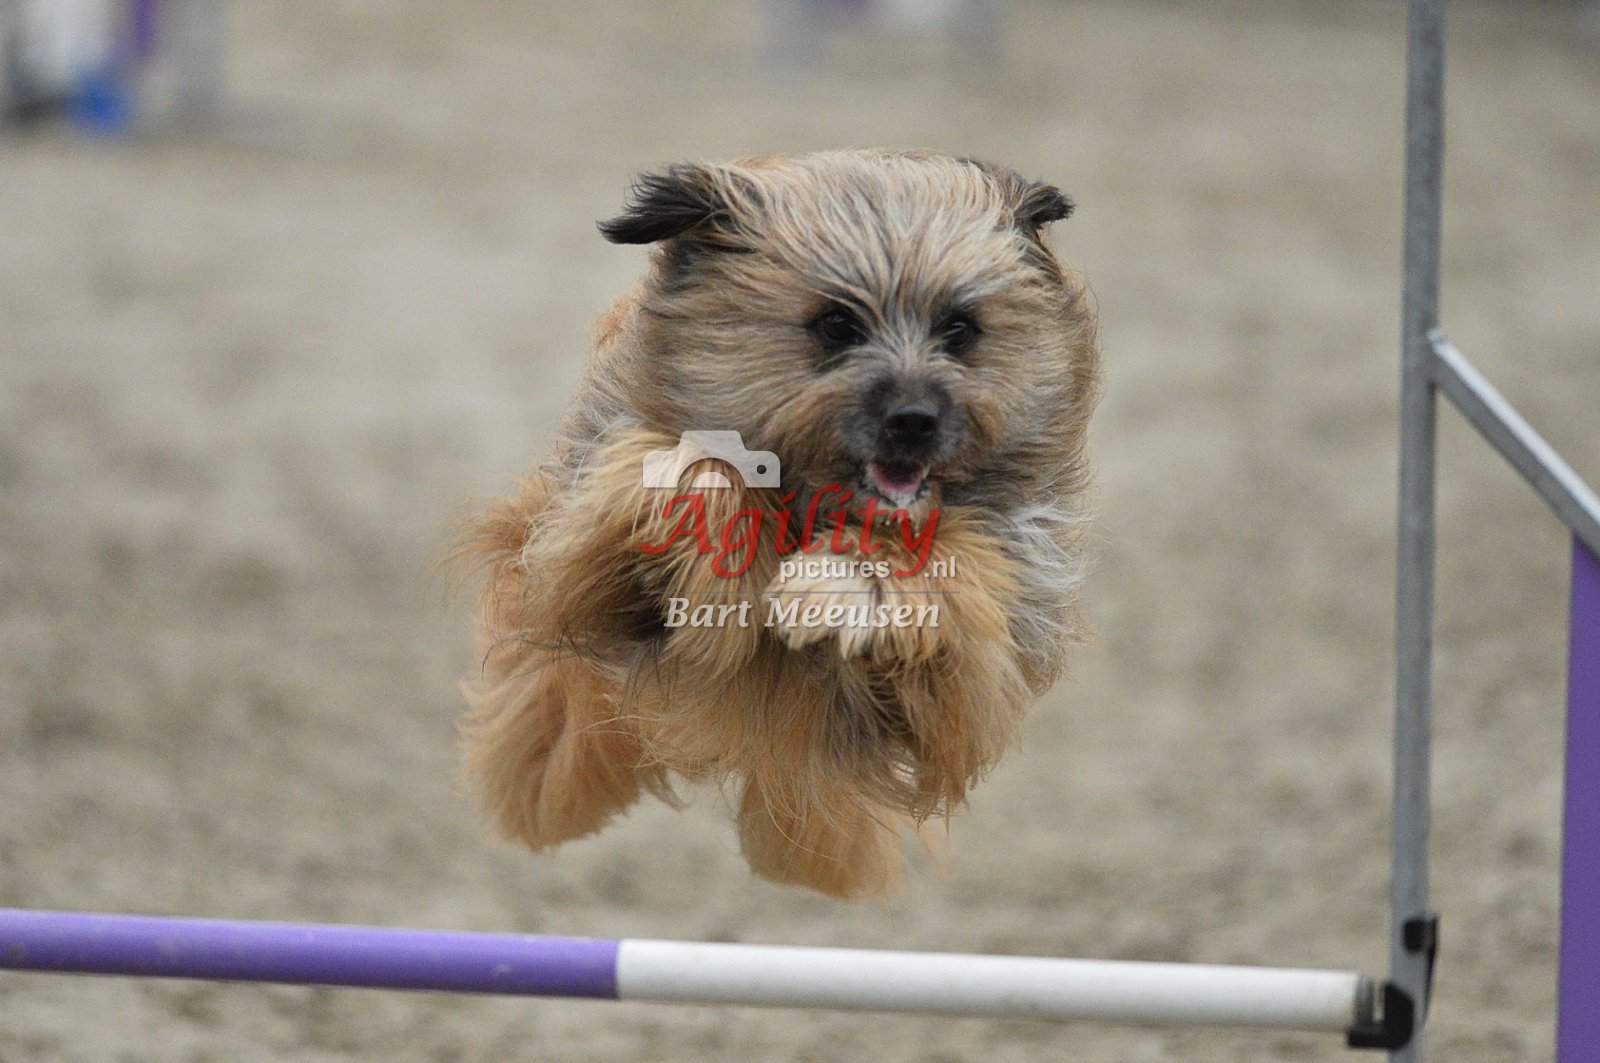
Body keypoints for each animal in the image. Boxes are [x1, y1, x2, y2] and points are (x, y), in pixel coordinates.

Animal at [458, 150, 1099, 898]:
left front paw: (837, 584)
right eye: (835, 324)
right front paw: (729, 580)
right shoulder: (583, 559)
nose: (914, 420)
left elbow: (953, 570)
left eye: (960, 327)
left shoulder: (965, 688)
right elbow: (700, 471)